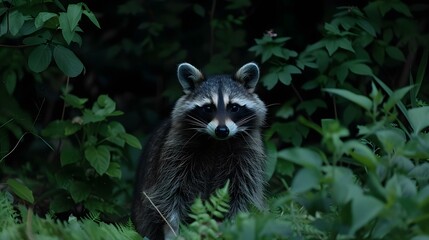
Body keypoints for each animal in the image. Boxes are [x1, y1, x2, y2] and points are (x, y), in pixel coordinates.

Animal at [130, 62, 266, 240]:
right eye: (208, 108)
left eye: (234, 107)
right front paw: (173, 230)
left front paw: (233, 228)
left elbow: (242, 193)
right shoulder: (175, 151)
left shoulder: (248, 154)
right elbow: (170, 193)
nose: (222, 130)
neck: (217, 142)